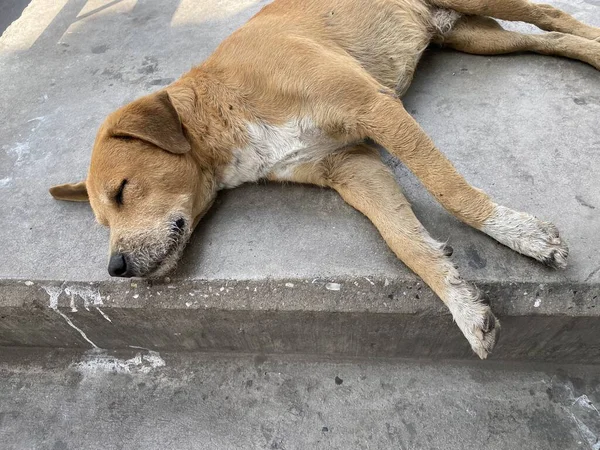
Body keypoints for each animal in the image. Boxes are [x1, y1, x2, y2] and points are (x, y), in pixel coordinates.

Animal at [48, 0, 600, 358]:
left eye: (122, 191)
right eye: (102, 222)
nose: (115, 268)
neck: (224, 107)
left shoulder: (374, 106)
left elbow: (448, 188)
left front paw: (521, 234)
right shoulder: (353, 168)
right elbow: (405, 241)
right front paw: (462, 304)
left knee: (552, 16)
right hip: (473, 37)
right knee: (548, 38)